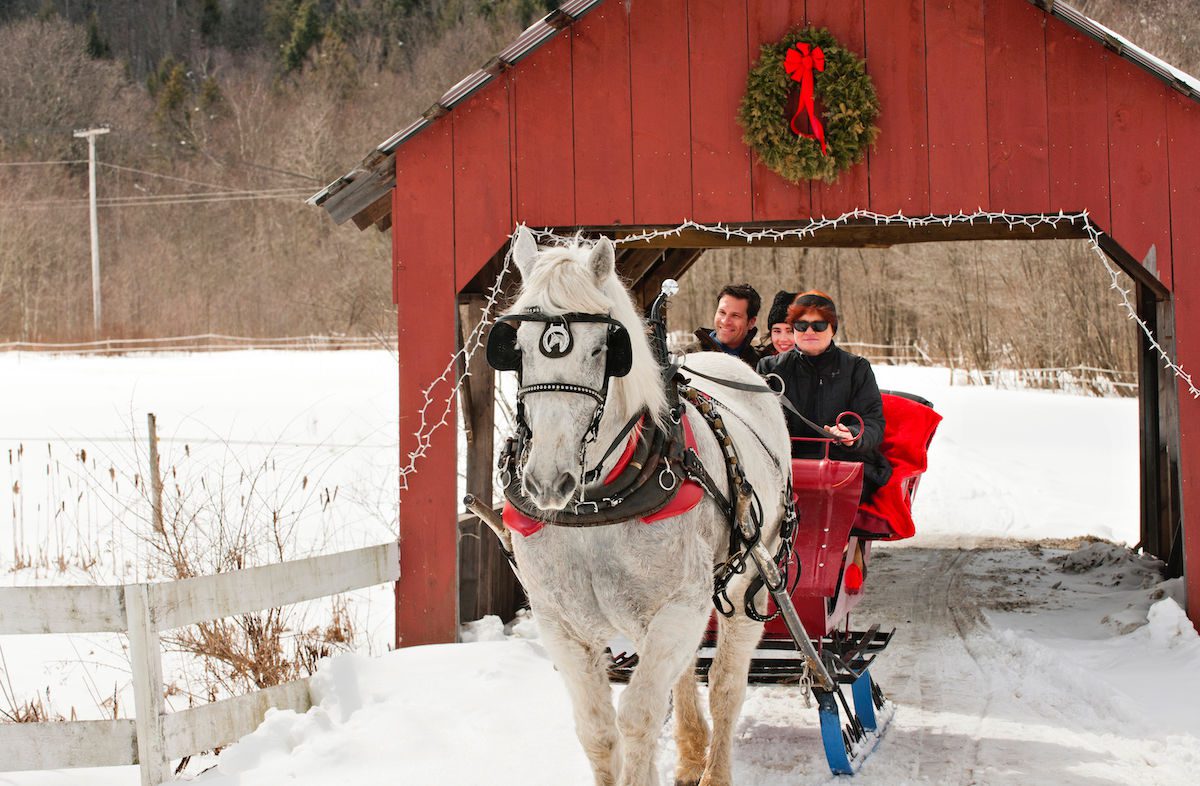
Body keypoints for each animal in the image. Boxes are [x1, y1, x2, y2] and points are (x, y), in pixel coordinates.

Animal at [501, 224, 792, 782]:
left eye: (602, 349)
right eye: (516, 347)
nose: (547, 480)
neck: (596, 507)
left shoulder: (678, 608)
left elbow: (637, 717)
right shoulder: (561, 625)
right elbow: (597, 731)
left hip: (750, 575)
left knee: (725, 684)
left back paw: (715, 768)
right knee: (686, 675)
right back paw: (692, 751)